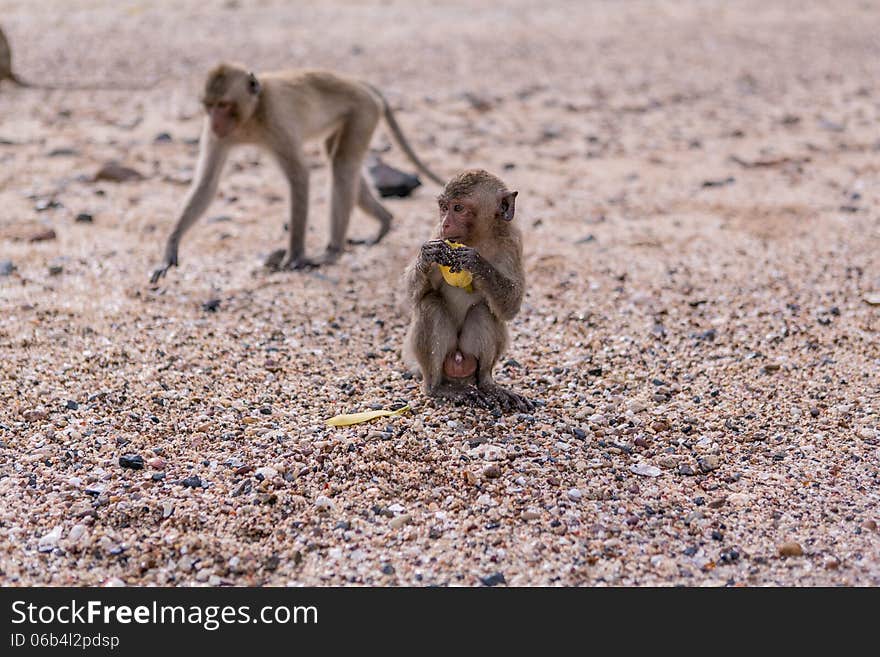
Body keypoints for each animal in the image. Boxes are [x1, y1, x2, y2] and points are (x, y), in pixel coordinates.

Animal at [149, 62, 446, 284]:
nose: (214, 121)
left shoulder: (276, 120)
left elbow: (299, 176)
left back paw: (332, 252)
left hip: (363, 111)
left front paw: (294, 256)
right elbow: (207, 183)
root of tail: (357, 83)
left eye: (223, 105)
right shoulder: (218, 136)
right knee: (341, 162)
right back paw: (384, 222)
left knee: (342, 165)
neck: (250, 116)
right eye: (209, 106)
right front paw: (170, 248)